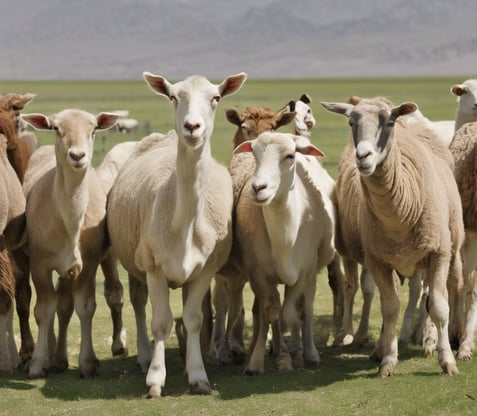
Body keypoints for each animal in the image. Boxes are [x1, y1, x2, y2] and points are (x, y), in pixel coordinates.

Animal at [21, 109, 119, 378]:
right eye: (56, 128)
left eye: (94, 129)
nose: (77, 155)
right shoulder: (40, 264)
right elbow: (43, 310)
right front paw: (37, 363)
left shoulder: (88, 263)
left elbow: (84, 307)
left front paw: (87, 362)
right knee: (53, 305)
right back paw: (51, 356)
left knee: (66, 305)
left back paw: (62, 358)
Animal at [106, 73, 247, 398]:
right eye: (172, 96)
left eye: (215, 98)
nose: (192, 127)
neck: (184, 223)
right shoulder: (154, 266)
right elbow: (160, 323)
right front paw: (156, 380)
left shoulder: (205, 270)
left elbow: (194, 320)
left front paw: (198, 376)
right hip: (135, 261)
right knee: (138, 303)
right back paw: (145, 358)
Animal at [232, 131, 332, 374]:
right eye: (255, 154)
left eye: (289, 156)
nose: (258, 187)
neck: (285, 238)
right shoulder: (258, 274)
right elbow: (270, 312)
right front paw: (257, 361)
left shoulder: (304, 273)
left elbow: (291, 313)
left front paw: (297, 352)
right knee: (266, 310)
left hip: (312, 275)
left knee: (306, 310)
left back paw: (309, 352)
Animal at [322, 97, 462, 376]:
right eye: (351, 122)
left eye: (388, 122)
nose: (362, 156)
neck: (398, 216)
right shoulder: (377, 260)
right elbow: (389, 308)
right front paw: (387, 359)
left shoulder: (438, 252)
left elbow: (439, 306)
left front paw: (447, 360)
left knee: (438, 293)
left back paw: (434, 340)